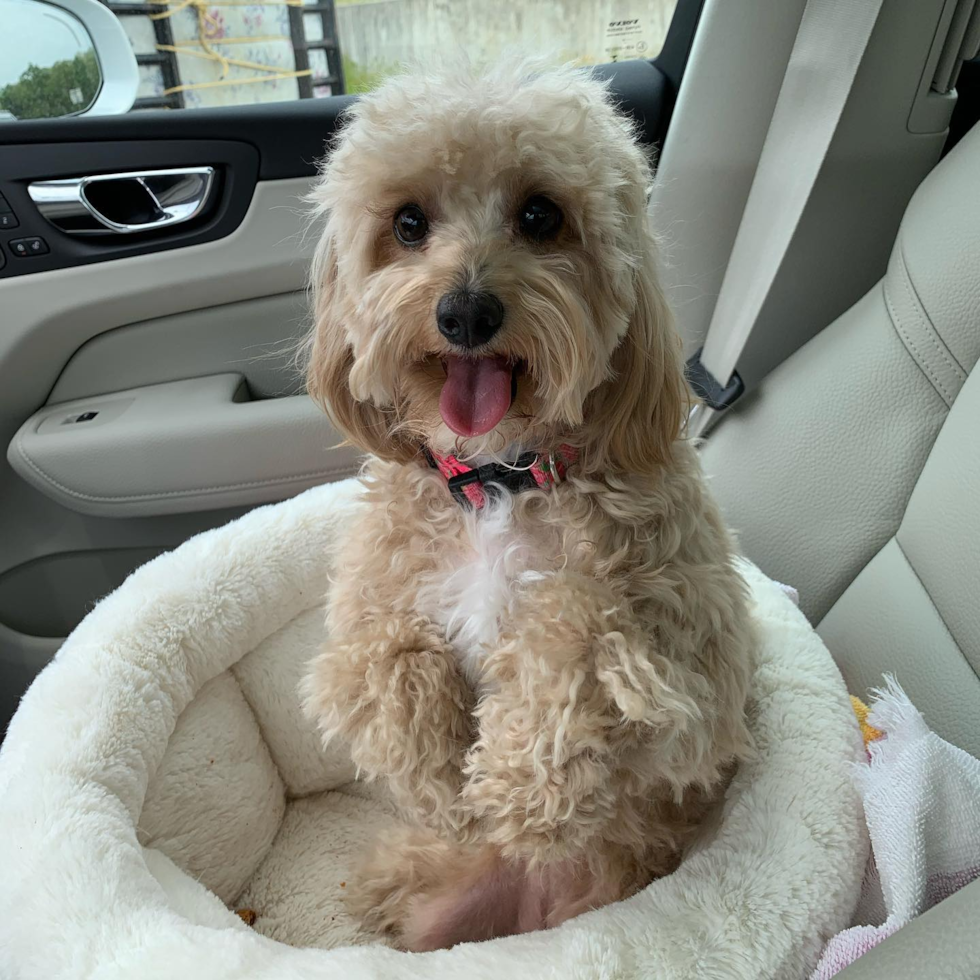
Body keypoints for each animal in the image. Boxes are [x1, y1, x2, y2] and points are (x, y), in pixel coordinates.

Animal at [302, 59, 756, 948]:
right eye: (408, 223)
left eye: (541, 215)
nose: (465, 311)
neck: (500, 480)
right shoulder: (369, 610)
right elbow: (386, 654)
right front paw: (446, 780)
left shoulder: (702, 673)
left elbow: (573, 619)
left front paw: (518, 792)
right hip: (424, 906)